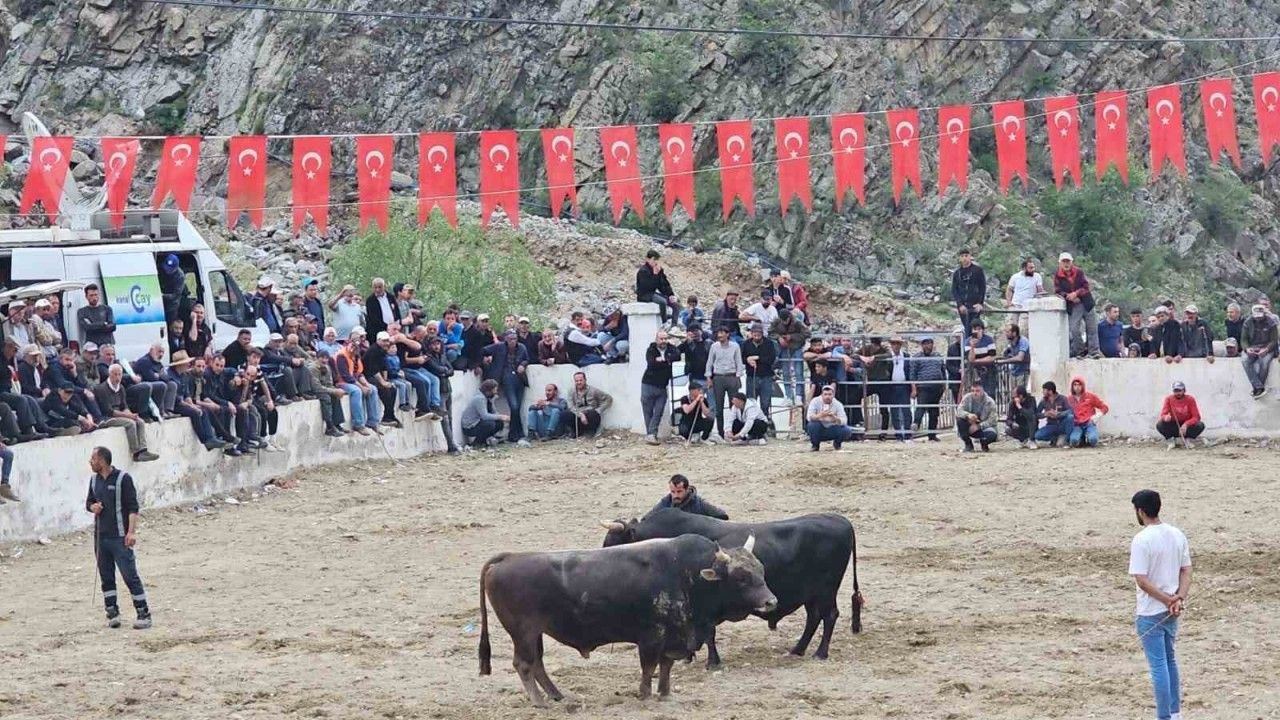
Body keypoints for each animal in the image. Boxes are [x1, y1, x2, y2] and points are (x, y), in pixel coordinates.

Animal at [478, 533, 777, 707]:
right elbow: (649, 666)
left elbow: (666, 666)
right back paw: (540, 701)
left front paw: (665, 692)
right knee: (524, 664)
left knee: (537, 663)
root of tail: (509, 558)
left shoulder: (673, 637)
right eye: (741, 577)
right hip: (523, 633)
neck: (686, 573)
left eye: (761, 570)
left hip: (535, 633)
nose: (770, 601)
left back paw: (556, 695)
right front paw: (644, 694)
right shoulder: (652, 636)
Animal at [601, 508, 863, 667]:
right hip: (811, 595)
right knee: (814, 617)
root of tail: (841, 520)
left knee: (829, 616)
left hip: (826, 591)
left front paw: (708, 661)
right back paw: (797, 649)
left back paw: (820, 652)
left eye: (613, 540)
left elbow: (708, 634)